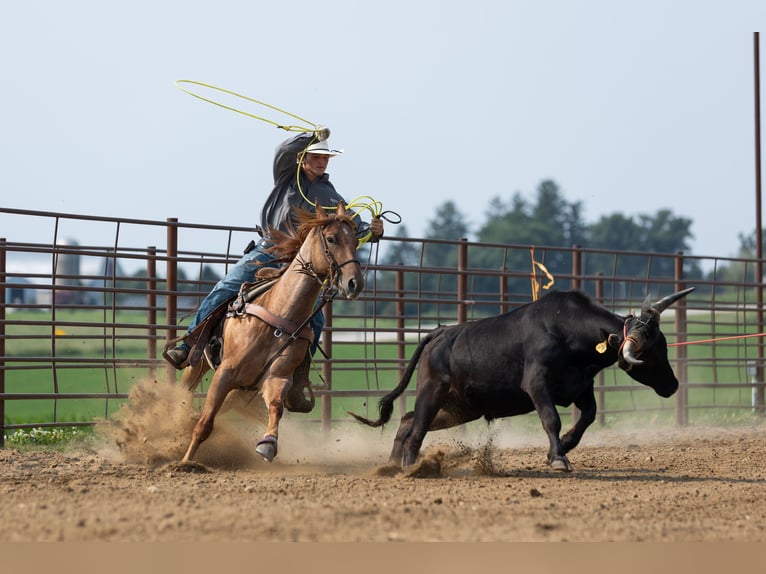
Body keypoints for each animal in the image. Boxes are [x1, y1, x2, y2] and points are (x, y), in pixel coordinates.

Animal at [179, 201, 364, 464]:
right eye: (331, 238)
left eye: (355, 241)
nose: (354, 283)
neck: (280, 313)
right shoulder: (225, 373)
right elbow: (204, 424)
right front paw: (186, 462)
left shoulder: (277, 377)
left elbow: (276, 407)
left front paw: (267, 444)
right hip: (198, 362)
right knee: (185, 390)